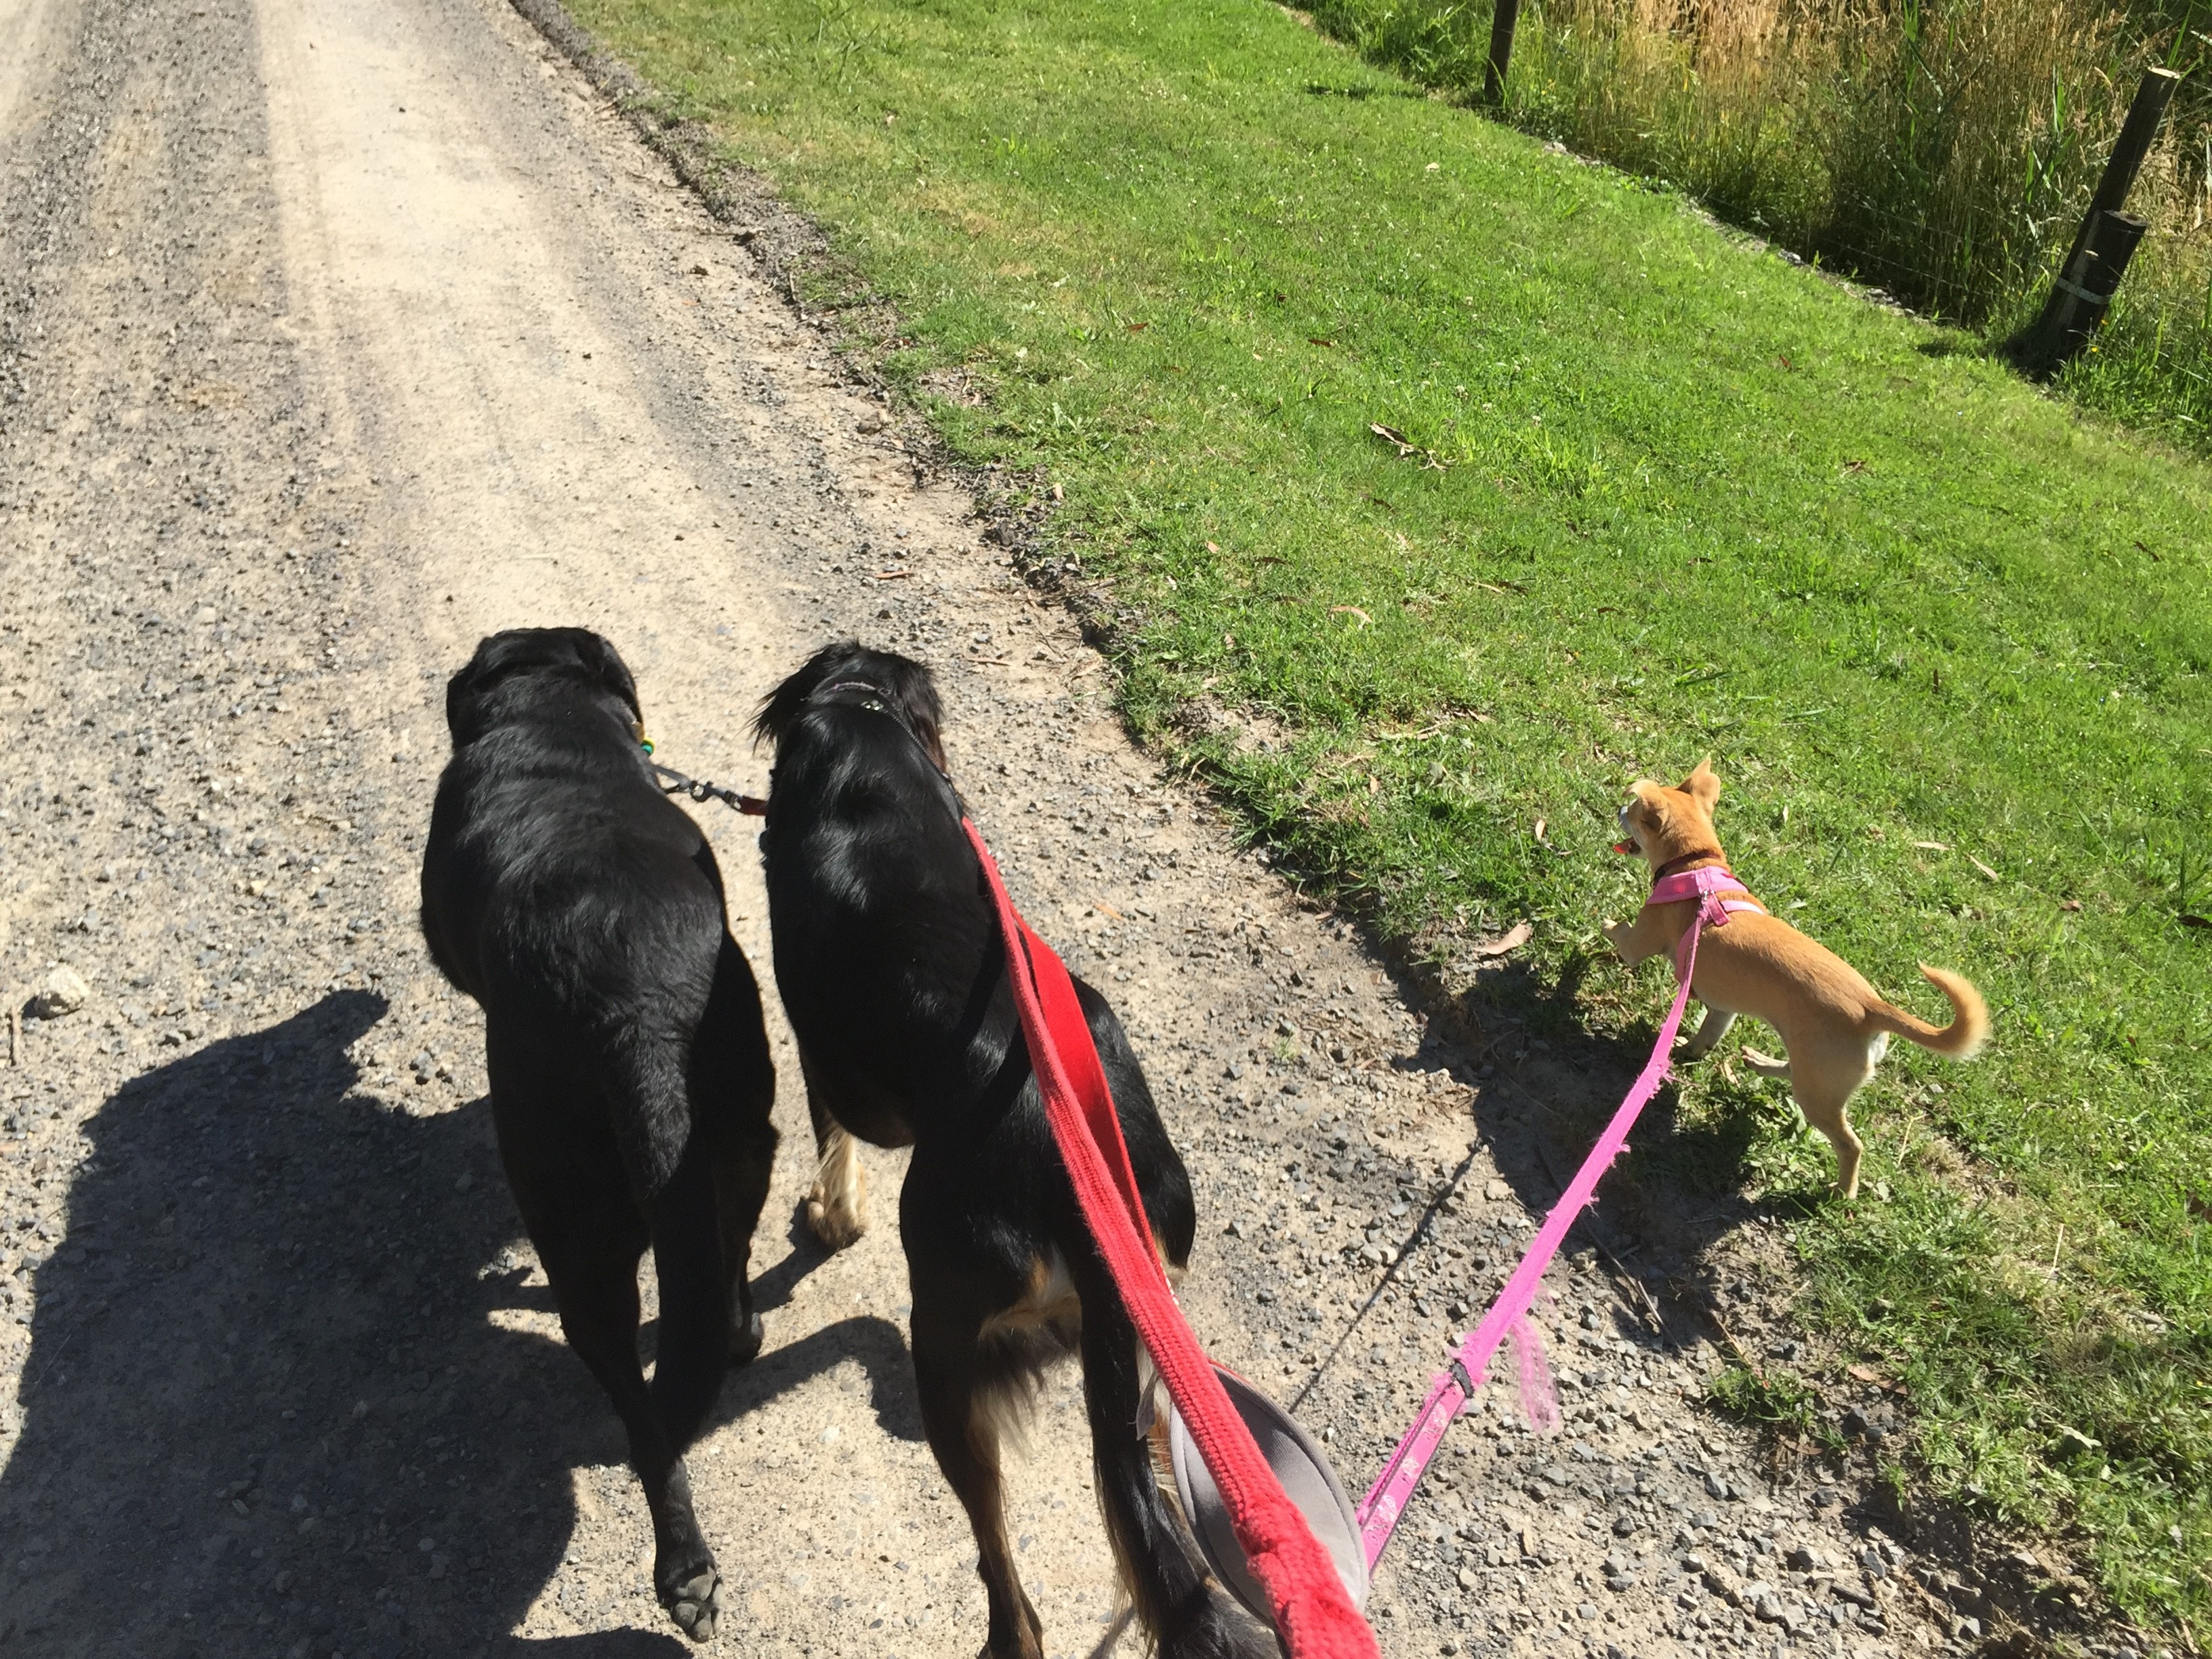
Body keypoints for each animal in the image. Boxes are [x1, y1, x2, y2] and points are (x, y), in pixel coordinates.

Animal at [420, 628, 778, 1643]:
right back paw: (739, 1333)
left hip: (573, 1227)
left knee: (641, 1411)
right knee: (725, 1264)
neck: (554, 719)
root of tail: (636, 1013)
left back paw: (683, 1570)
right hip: (743, 1137)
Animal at [752, 642, 1273, 1659]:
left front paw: (830, 1219)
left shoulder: (820, 1049)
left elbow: (833, 1140)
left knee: (1004, 1567)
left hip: (947, 1341)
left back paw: (1005, 1632)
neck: (863, 720)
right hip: (1147, 1339)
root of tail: (1080, 1192)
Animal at [1603, 759, 1988, 1199]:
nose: (1618, 809)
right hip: (1817, 1073)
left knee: (1849, 1144)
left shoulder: (1640, 943)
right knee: (1793, 1071)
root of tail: (1872, 1008)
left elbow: (1623, 937)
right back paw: (1761, 1062)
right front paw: (1689, 1050)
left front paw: (1606, 925)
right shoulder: (1723, 1008)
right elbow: (1709, 1034)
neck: (1696, 866)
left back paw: (1842, 1191)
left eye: (1632, 812)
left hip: (1819, 1092)